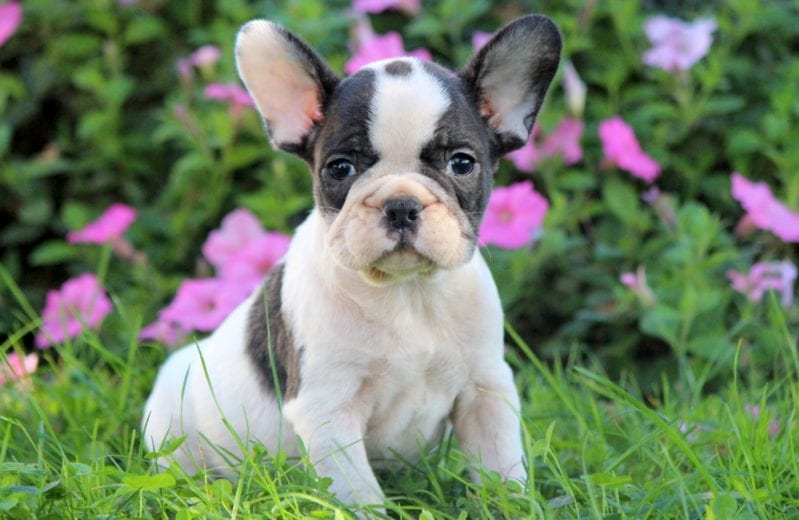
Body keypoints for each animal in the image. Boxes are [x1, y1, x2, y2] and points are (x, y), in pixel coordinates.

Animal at [141, 15, 560, 508]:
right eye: (340, 168)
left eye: (461, 163)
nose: (401, 205)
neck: (407, 293)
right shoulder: (329, 410)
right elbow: (359, 494)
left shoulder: (485, 390)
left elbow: (501, 470)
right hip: (170, 426)